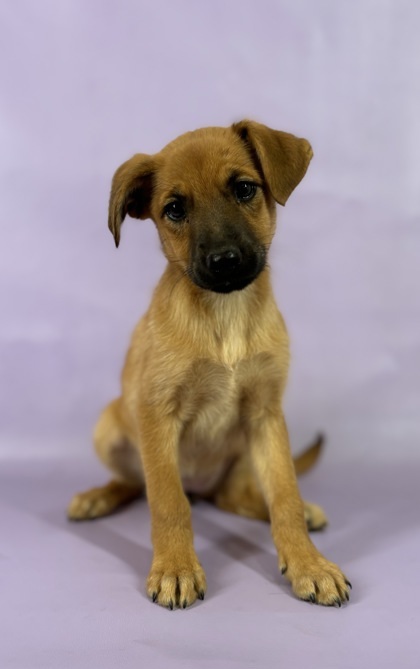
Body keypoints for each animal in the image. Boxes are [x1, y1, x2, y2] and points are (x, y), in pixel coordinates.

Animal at [69, 118, 352, 604]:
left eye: (243, 188)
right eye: (174, 209)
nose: (224, 261)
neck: (226, 314)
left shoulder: (266, 415)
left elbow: (285, 497)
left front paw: (308, 563)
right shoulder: (157, 414)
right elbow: (168, 502)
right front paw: (175, 567)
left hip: (244, 456)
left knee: (240, 498)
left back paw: (300, 512)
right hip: (109, 426)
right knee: (138, 484)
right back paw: (97, 497)